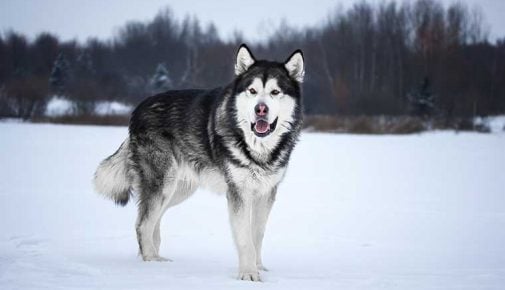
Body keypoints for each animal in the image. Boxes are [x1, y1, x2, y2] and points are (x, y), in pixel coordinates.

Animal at [94, 43, 306, 280]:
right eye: (252, 91)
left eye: (275, 92)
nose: (260, 109)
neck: (258, 148)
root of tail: (137, 109)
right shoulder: (238, 193)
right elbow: (245, 239)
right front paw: (248, 274)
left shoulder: (266, 192)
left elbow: (257, 234)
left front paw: (259, 267)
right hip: (163, 184)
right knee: (142, 224)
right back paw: (151, 264)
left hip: (177, 190)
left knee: (152, 221)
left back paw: (155, 258)